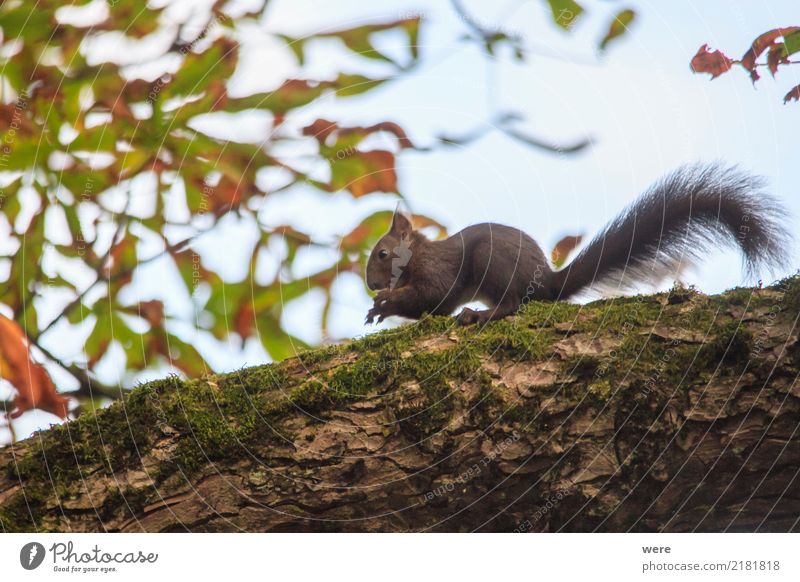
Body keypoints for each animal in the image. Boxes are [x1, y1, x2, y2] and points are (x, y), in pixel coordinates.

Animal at [366, 165, 792, 328]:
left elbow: (435, 297)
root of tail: (548, 282)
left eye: (382, 253)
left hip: (494, 261)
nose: (371, 286)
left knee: (514, 303)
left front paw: (386, 302)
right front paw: (378, 308)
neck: (418, 256)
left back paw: (481, 314)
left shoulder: (441, 271)